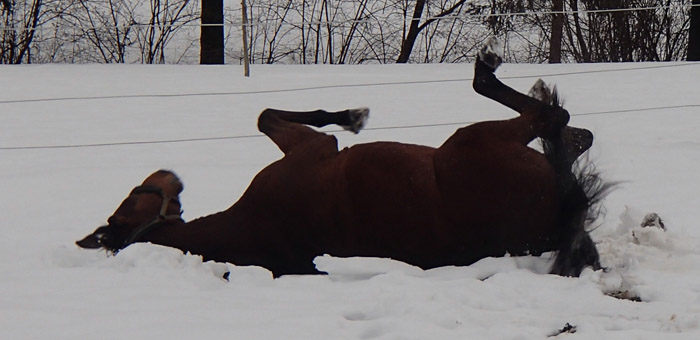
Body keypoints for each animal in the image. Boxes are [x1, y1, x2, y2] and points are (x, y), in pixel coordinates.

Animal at [76, 40, 604, 278]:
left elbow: (263, 114)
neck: (248, 226)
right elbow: (269, 117)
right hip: (472, 141)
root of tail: (560, 216)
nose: (166, 175)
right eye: (129, 202)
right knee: (552, 117)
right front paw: (354, 117)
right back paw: (491, 66)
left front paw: (350, 116)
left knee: (570, 130)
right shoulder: (312, 150)